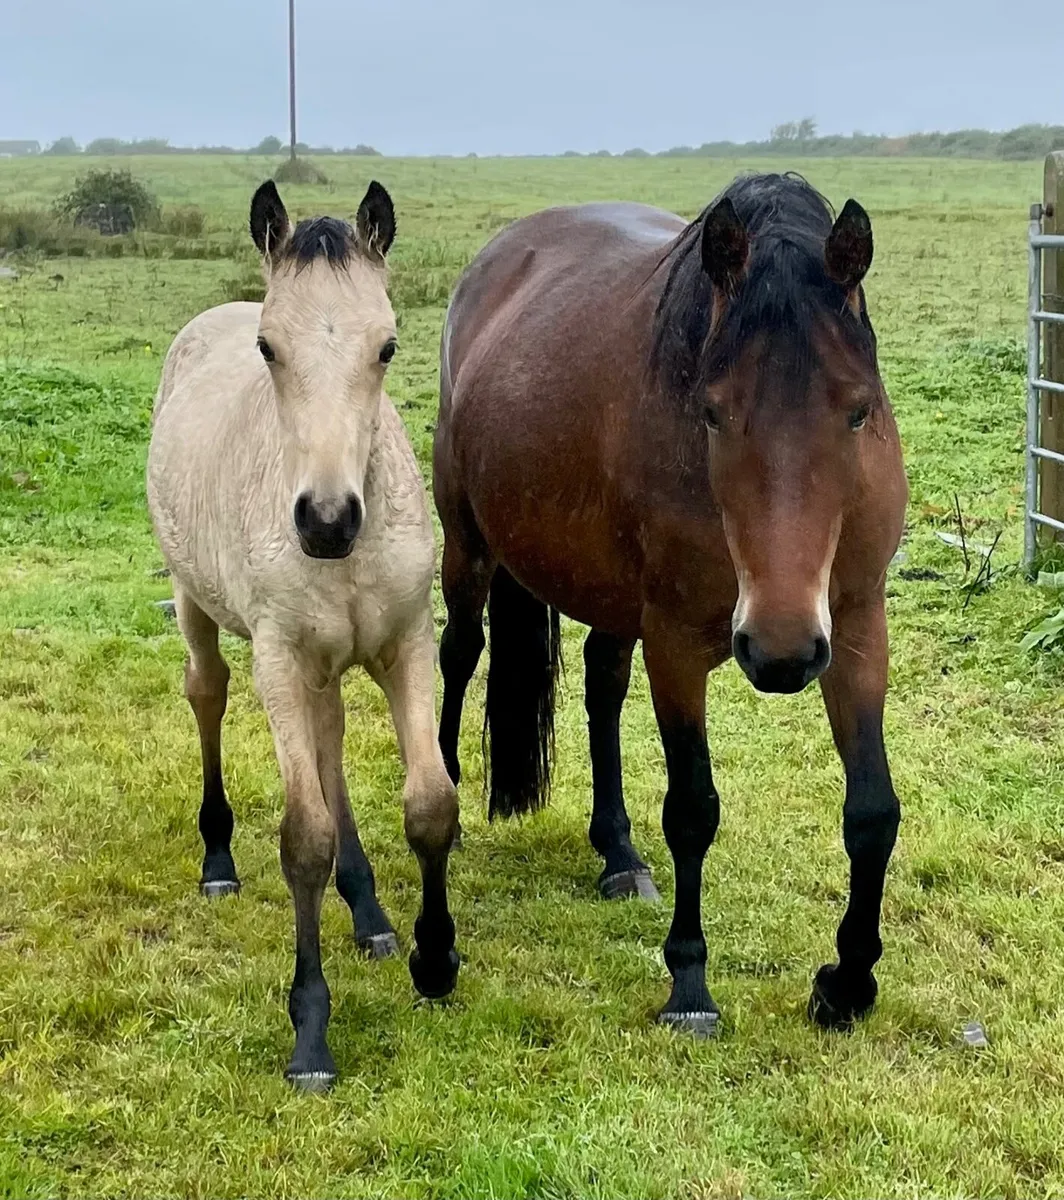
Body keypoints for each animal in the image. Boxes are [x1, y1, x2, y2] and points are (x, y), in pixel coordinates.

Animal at [147, 181, 459, 1089]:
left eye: (387, 346)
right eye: (269, 349)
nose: (325, 522)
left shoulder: (407, 647)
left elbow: (429, 804)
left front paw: (434, 962)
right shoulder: (281, 663)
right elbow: (303, 838)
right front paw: (311, 1033)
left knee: (330, 746)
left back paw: (371, 913)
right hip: (196, 604)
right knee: (207, 696)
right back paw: (218, 861)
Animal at [434, 173, 907, 1035]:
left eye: (858, 410)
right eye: (712, 411)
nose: (781, 650)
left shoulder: (857, 629)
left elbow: (872, 812)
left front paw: (848, 982)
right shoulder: (678, 644)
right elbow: (692, 808)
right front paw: (690, 984)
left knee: (600, 687)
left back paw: (618, 854)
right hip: (468, 546)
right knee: (458, 656)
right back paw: (445, 798)